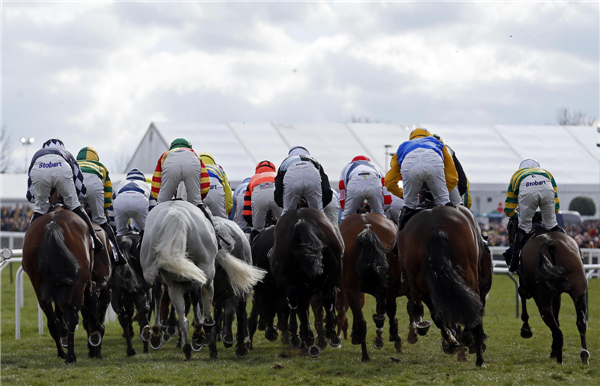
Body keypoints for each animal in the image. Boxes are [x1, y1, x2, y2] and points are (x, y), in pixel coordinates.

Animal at [338, 214, 404, 362]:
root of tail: (366, 229)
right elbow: (385, 310)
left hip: (352, 287)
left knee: (362, 320)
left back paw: (365, 354)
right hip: (392, 281)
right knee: (389, 309)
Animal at [508, 217, 588, 364]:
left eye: (510, 226)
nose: (510, 239)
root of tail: (551, 244)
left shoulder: (525, 284)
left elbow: (522, 295)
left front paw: (526, 329)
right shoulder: (557, 295)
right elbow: (557, 316)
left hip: (542, 298)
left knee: (557, 330)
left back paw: (559, 359)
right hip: (579, 292)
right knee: (581, 322)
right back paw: (584, 355)